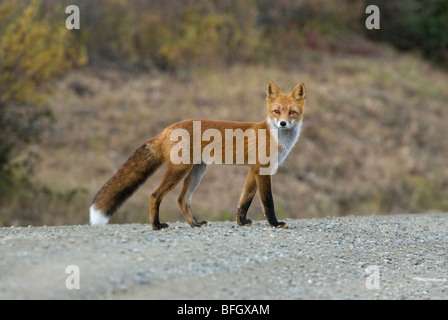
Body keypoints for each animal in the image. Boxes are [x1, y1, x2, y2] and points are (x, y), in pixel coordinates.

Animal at [88, 81, 304, 229]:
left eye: (292, 112)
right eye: (276, 112)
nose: (283, 123)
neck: (275, 136)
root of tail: (168, 128)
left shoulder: (254, 170)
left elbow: (245, 200)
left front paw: (241, 221)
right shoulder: (263, 170)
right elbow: (268, 201)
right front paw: (275, 224)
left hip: (197, 172)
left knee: (182, 200)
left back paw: (195, 223)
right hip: (180, 171)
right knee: (155, 195)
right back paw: (157, 226)